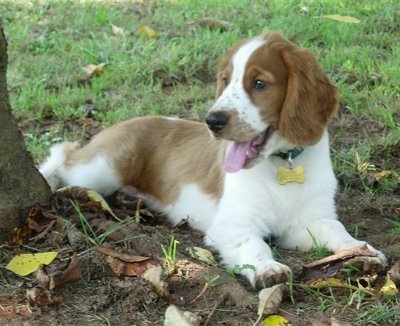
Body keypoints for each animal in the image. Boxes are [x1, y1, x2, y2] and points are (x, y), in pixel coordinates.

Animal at [39, 32, 386, 288]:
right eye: (225, 80)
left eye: (259, 84)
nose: (213, 121)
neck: (280, 162)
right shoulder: (232, 224)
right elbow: (254, 244)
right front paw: (268, 268)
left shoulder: (307, 221)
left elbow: (334, 227)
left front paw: (362, 251)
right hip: (101, 169)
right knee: (65, 153)